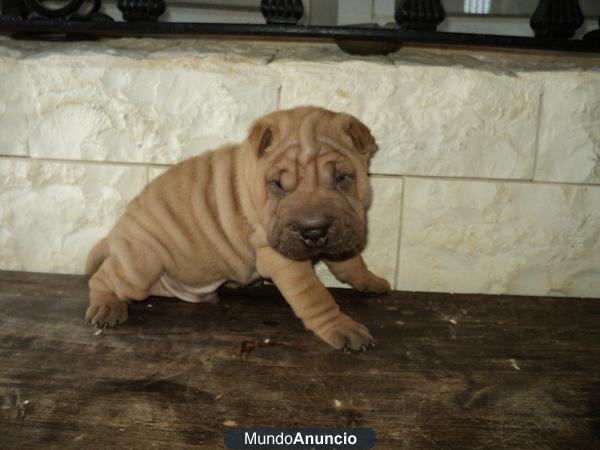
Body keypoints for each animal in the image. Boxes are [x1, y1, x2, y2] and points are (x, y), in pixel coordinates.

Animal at [86, 106, 392, 352]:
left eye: (342, 178)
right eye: (278, 185)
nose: (313, 232)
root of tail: (115, 233)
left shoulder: (344, 232)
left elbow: (351, 263)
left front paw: (371, 281)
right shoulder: (281, 258)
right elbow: (314, 295)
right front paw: (341, 327)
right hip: (141, 264)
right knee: (104, 277)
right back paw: (106, 306)